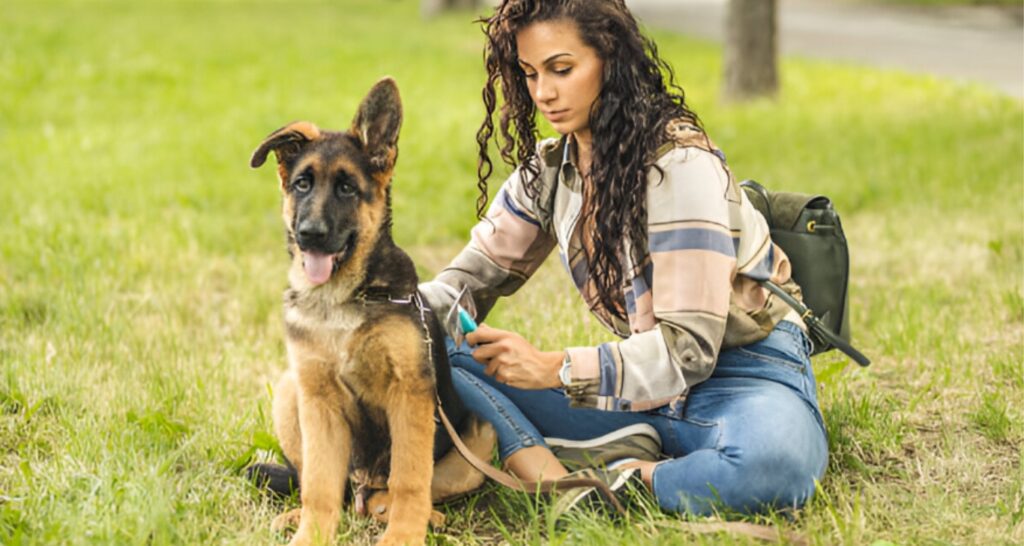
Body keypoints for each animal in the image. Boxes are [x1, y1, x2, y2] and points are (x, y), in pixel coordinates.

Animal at [253, 77, 497, 544]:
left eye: (347, 189)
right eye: (302, 185)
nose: (310, 234)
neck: (341, 300)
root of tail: (364, 492)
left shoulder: (411, 395)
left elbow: (410, 478)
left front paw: (404, 534)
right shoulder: (317, 398)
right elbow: (319, 484)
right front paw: (311, 533)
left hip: (480, 433)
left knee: (411, 490)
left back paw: (421, 516)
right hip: (291, 392)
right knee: (334, 489)